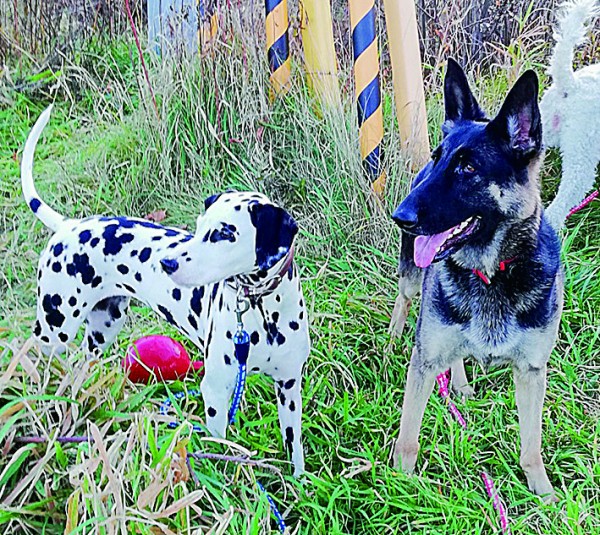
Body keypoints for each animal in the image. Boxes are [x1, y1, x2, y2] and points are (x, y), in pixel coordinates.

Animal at [21, 107, 310, 476]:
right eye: (200, 228)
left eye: (224, 233)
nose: (168, 263)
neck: (263, 313)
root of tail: (69, 226)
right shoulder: (215, 391)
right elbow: (221, 448)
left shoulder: (289, 387)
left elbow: (294, 448)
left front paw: (299, 484)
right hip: (53, 330)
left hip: (103, 328)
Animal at [392, 60, 560, 500]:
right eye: (439, 158)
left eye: (468, 168)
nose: (400, 216)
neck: (490, 274)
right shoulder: (424, 361)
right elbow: (408, 437)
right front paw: (399, 485)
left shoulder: (532, 372)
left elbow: (532, 443)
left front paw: (543, 492)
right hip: (414, 281)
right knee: (405, 298)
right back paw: (395, 336)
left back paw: (462, 384)